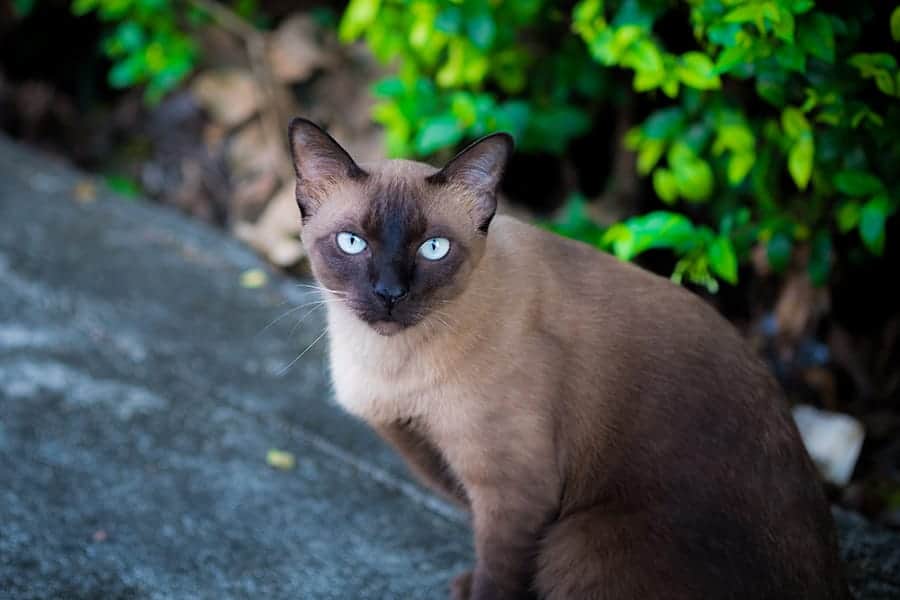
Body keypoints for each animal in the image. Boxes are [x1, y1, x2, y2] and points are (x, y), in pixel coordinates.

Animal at [284, 118, 848, 600]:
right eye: (352, 243)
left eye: (434, 248)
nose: (389, 294)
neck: (387, 364)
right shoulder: (427, 450)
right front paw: (464, 584)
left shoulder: (515, 493)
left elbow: (499, 576)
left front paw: (474, 589)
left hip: (575, 544)